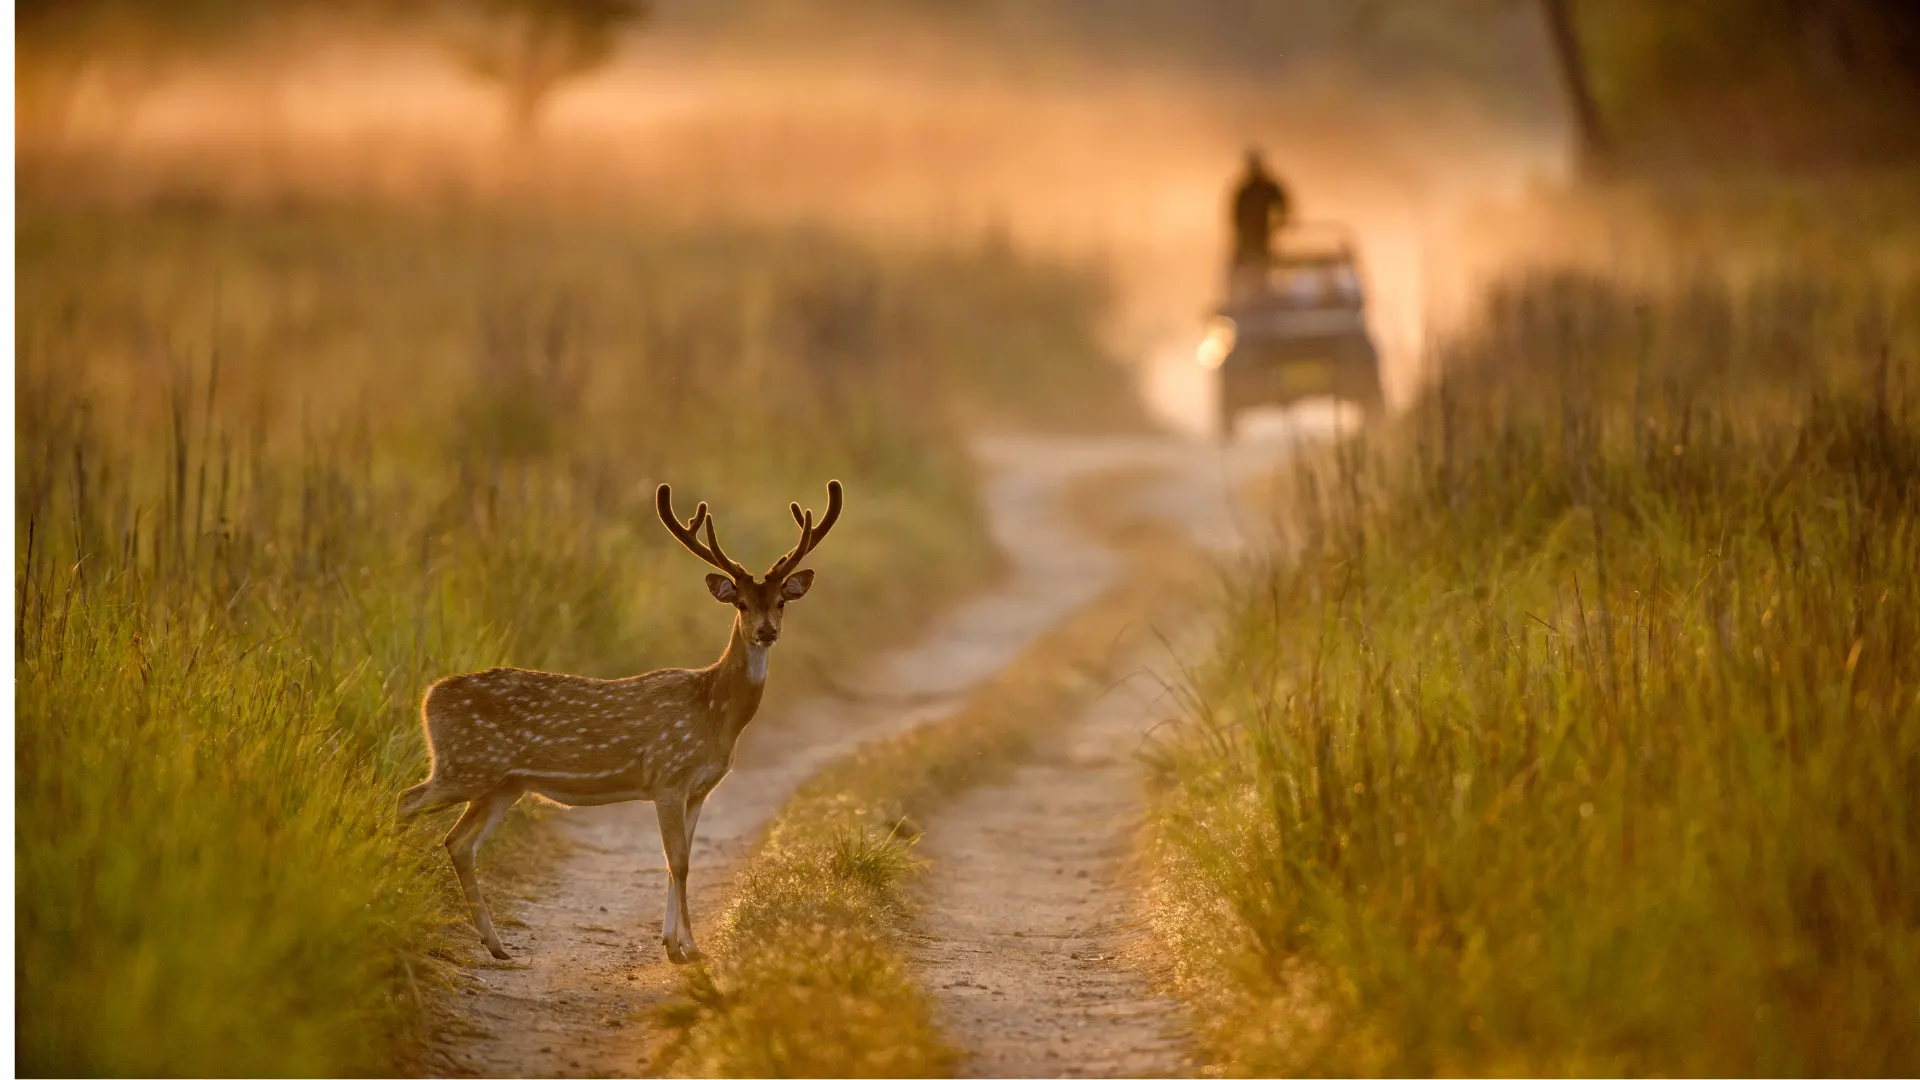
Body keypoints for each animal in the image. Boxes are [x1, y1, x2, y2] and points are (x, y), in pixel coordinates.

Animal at [397, 479, 843, 964]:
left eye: (781, 602)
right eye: (741, 604)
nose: (766, 631)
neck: (713, 713)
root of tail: (429, 696)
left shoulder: (699, 788)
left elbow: (678, 860)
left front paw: (674, 942)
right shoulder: (668, 775)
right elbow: (679, 861)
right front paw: (689, 948)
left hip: (503, 783)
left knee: (459, 842)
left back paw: (496, 945)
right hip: (465, 764)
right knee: (407, 800)